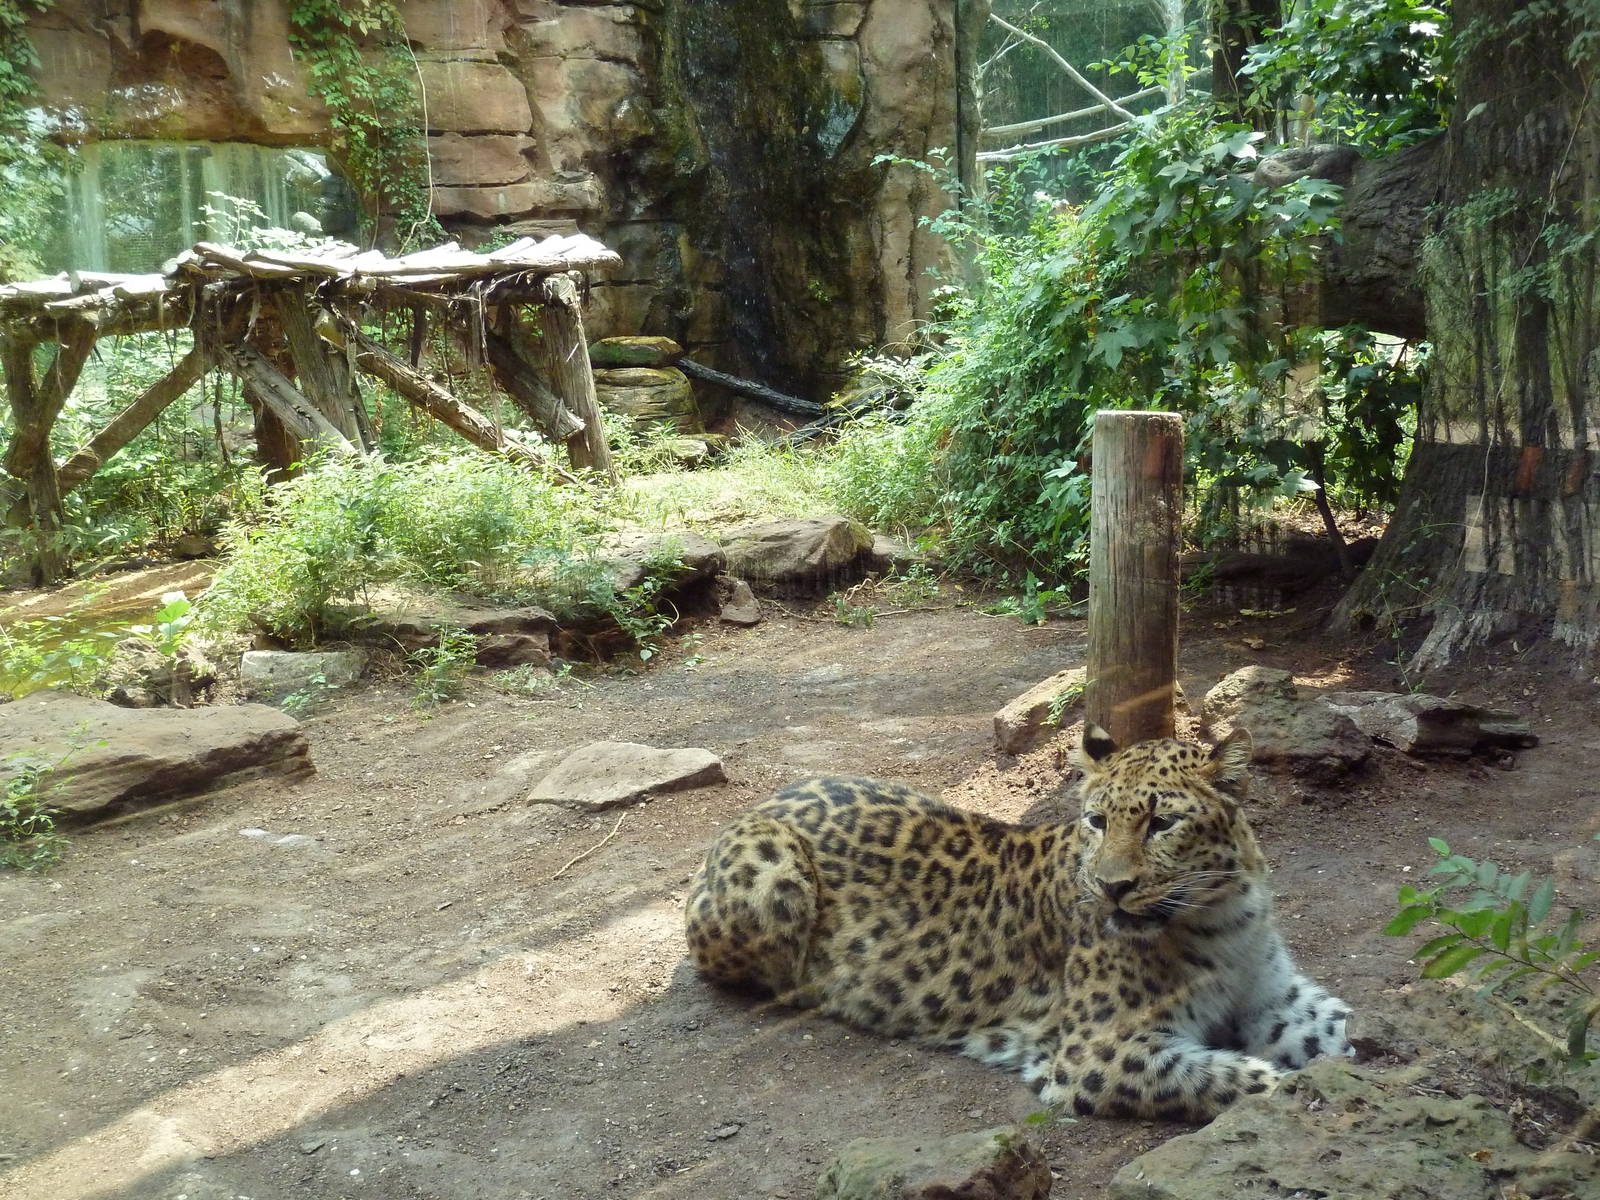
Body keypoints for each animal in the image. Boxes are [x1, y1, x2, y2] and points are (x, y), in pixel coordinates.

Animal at [684, 724, 1352, 1121]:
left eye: (1162, 824)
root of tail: (760, 803)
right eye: (1097, 821)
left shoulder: (1273, 997)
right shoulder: (1098, 1052)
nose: (1112, 888)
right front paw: (1299, 1093)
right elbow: (1230, 1077)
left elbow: (1337, 1026)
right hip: (773, 873)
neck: (1221, 917)